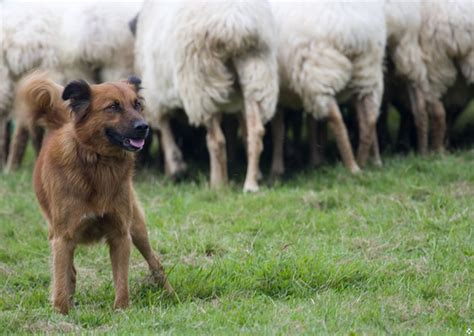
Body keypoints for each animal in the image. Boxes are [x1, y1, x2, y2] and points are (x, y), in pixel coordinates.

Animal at [16, 71, 176, 316]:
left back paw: (171, 295)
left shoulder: (121, 234)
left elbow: (122, 282)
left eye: (137, 105)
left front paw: (122, 311)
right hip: (56, 232)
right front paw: (61, 314)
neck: (98, 162)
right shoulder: (63, 238)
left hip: (137, 227)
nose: (145, 126)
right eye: (113, 107)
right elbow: (61, 282)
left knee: (155, 262)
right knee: (69, 272)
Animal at [134, 0, 278, 192]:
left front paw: (175, 169)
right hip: (256, 71)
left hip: (202, 80)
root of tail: (235, 22)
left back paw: (218, 184)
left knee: (216, 140)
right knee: (255, 131)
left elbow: (164, 129)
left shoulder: (154, 92)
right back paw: (251, 184)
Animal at [268, 1, 386, 178]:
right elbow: (298, 124)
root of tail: (355, 30)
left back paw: (352, 167)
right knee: (369, 118)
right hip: (366, 71)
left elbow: (278, 129)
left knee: (337, 119)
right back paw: (365, 161)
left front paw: (276, 170)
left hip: (318, 71)